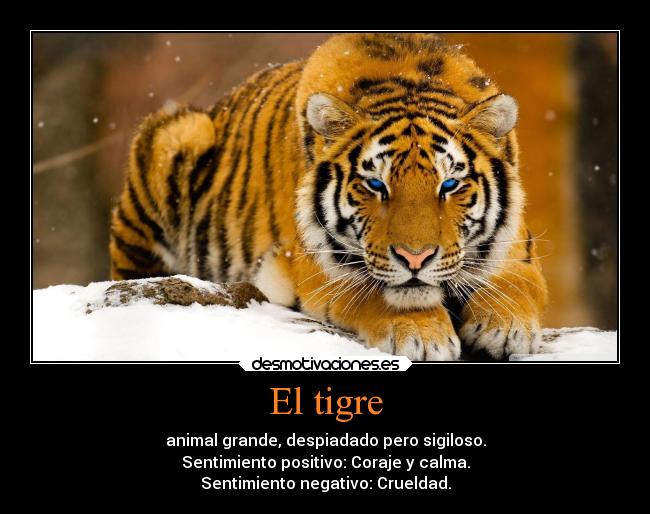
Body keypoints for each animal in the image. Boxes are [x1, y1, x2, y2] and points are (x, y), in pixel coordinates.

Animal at [109, 33, 548, 361]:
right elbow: (375, 292)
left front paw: (505, 328)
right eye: (376, 185)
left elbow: (518, 284)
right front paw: (422, 335)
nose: (415, 258)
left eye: (449, 185)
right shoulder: (314, 264)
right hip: (178, 134)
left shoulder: (517, 247)